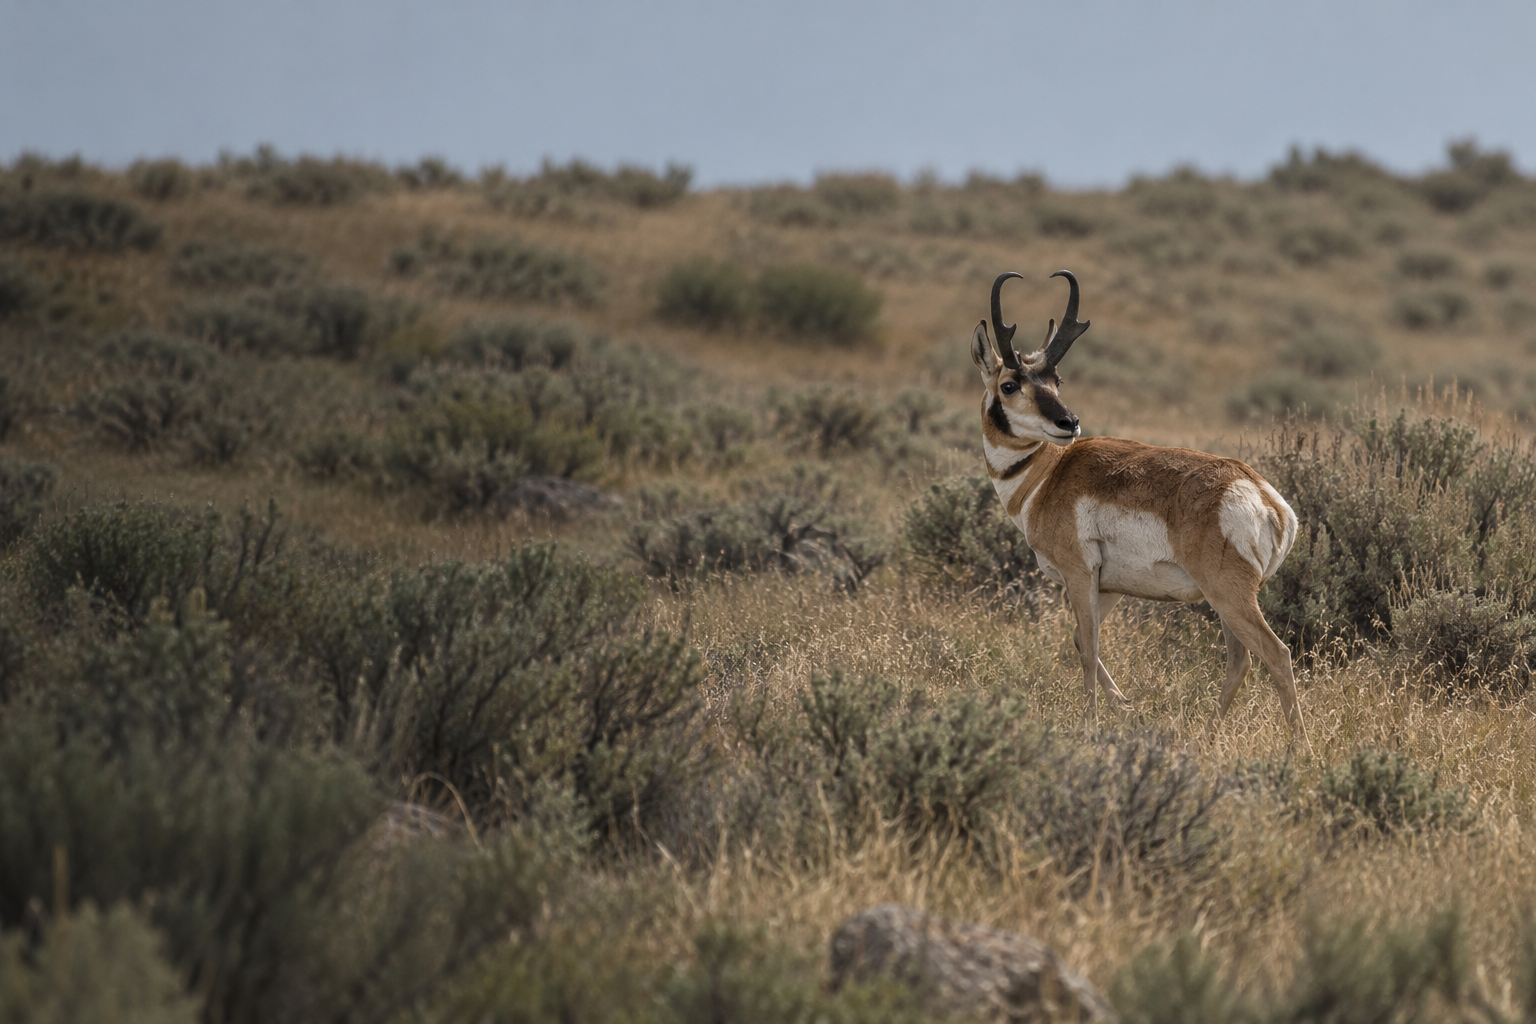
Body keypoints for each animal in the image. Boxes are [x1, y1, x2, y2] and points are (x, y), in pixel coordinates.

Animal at [971, 270, 1311, 751]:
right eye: (1011, 384)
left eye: (1056, 380)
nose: (1069, 423)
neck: (1047, 476)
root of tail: (1266, 498)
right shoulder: (1108, 588)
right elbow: (1081, 641)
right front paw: (1130, 709)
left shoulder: (1078, 575)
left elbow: (1089, 649)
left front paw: (1090, 726)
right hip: (1226, 601)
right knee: (1240, 661)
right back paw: (1203, 737)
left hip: (1229, 595)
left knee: (1276, 655)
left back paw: (1300, 748)